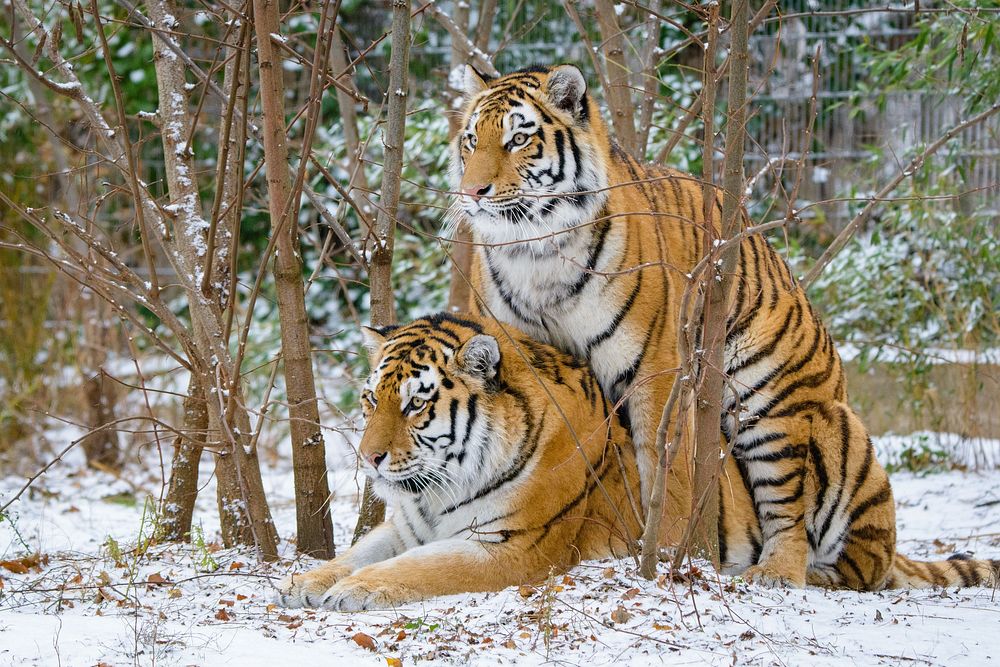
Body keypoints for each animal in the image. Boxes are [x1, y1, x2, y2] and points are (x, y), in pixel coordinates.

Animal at [276, 314, 1000, 612]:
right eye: (371, 399)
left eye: (418, 404)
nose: (369, 457)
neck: (436, 487)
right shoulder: (404, 524)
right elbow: (358, 552)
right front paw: (307, 580)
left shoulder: (512, 546)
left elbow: (422, 569)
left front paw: (353, 592)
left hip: (834, 432)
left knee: (859, 571)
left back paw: (796, 575)